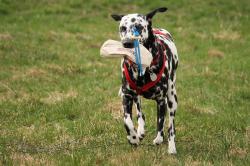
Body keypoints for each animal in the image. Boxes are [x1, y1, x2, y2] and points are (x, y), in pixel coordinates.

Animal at [111, 7, 178, 154]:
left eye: (138, 26)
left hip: (172, 98)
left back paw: (171, 146)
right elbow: (127, 120)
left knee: (171, 125)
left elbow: (161, 121)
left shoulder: (161, 100)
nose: (127, 43)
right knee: (140, 113)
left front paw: (159, 139)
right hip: (136, 96)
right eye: (122, 28)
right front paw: (133, 138)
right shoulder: (127, 96)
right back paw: (140, 130)